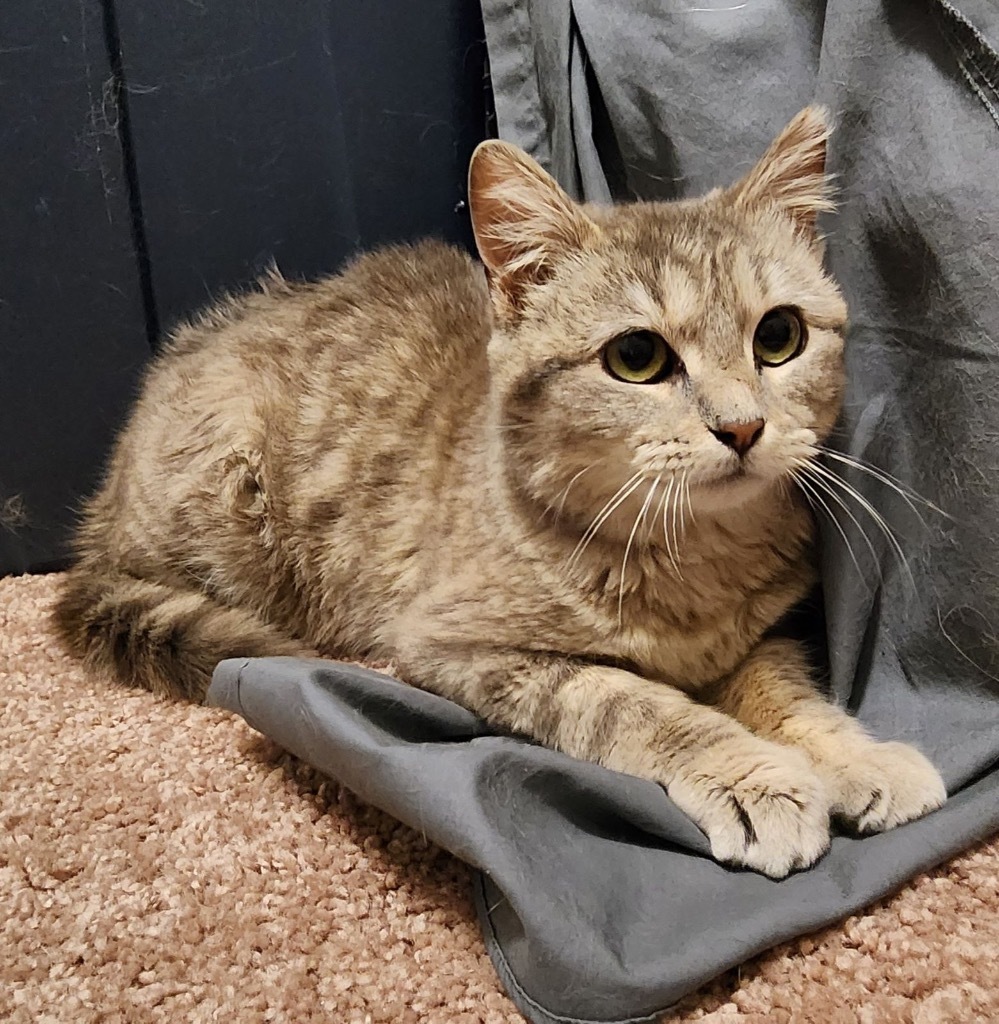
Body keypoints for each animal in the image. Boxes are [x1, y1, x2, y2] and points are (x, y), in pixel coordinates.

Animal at [52, 105, 945, 880]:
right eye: (636, 358)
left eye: (779, 335)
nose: (742, 427)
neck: (690, 560)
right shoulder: (461, 647)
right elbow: (634, 703)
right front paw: (749, 774)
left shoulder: (759, 633)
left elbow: (783, 691)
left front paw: (852, 756)